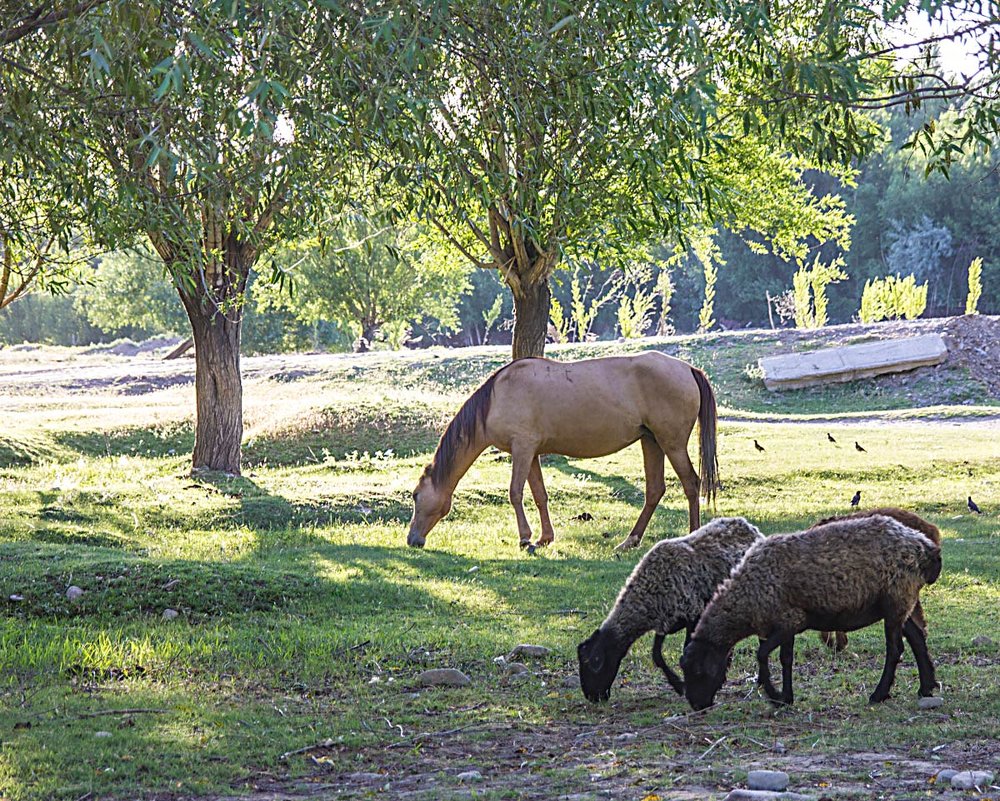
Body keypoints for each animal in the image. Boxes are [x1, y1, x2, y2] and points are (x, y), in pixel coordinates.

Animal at [406, 354, 720, 552]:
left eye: (416, 496)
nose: (412, 539)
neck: (496, 398)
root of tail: (688, 369)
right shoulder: (531, 453)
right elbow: (539, 495)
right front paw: (544, 538)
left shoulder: (522, 448)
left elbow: (515, 493)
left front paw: (525, 539)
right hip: (651, 441)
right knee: (655, 490)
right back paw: (629, 541)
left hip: (671, 443)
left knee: (691, 484)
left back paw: (691, 536)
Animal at [576, 520, 760, 700]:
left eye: (592, 665)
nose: (592, 697)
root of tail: (749, 526)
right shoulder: (665, 622)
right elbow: (657, 655)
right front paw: (678, 685)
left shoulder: (693, 616)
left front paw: (686, 685)